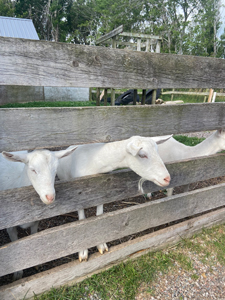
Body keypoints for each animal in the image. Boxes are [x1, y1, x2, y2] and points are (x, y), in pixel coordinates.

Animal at [0, 149, 76, 280]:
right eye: (33, 170)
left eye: (55, 170)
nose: (50, 197)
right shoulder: (10, 227)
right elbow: (14, 246)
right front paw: (18, 273)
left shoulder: (36, 222)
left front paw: (37, 262)